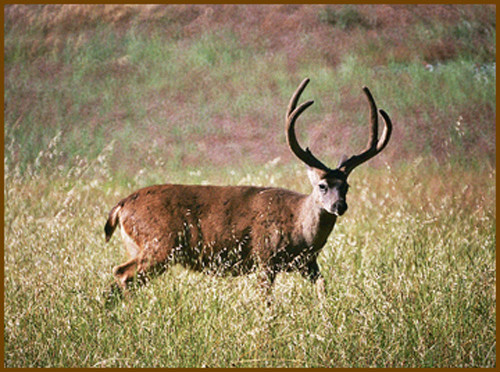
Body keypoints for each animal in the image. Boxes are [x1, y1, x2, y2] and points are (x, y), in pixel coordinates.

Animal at [104, 77, 390, 298]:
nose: (339, 205)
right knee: (123, 274)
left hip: (142, 246)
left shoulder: (309, 263)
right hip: (159, 244)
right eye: (322, 185)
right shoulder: (265, 258)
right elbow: (266, 302)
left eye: (347, 186)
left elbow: (323, 288)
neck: (299, 226)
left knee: (118, 276)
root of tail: (121, 206)